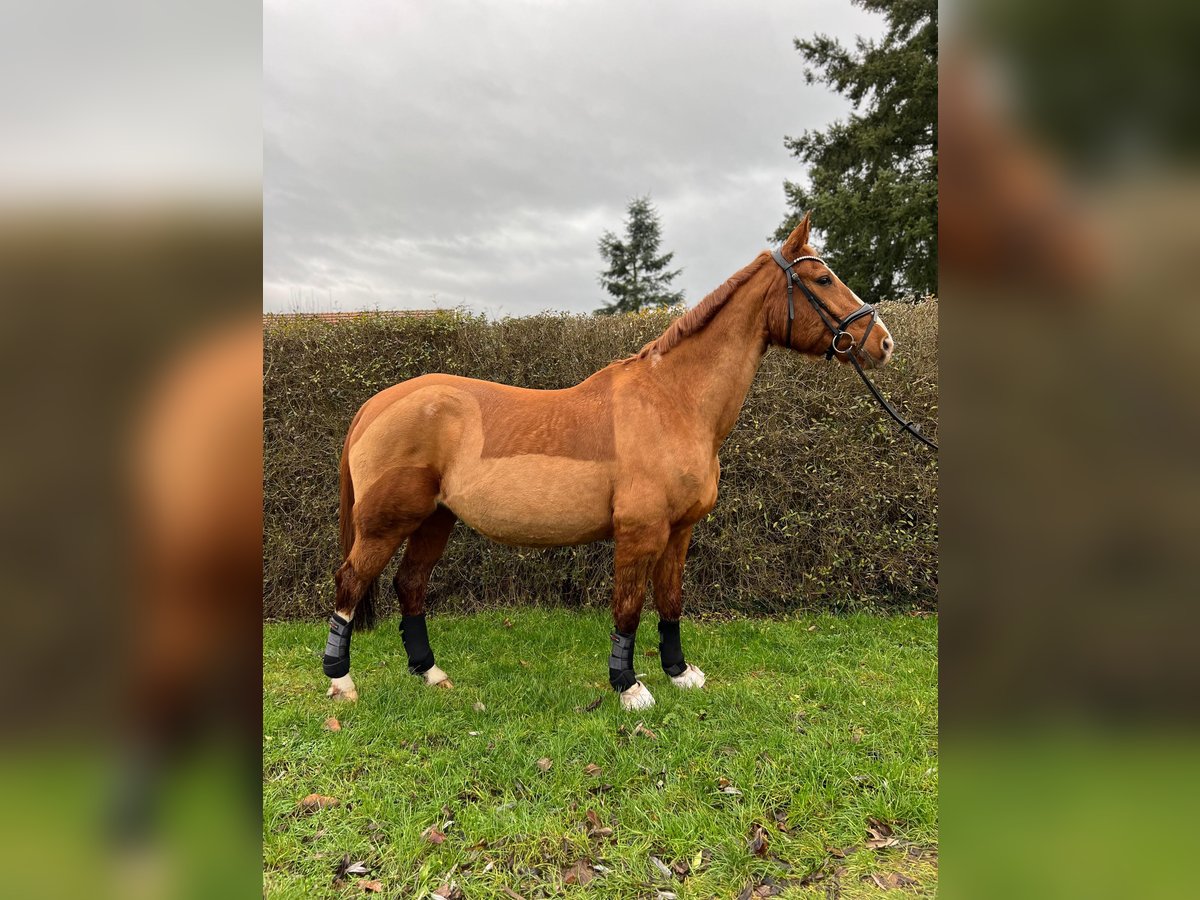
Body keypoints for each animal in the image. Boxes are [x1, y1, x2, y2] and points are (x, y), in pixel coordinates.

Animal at [319, 217, 892, 710]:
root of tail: (376, 405)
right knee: (350, 582)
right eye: (823, 278)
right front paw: (628, 686)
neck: (673, 401)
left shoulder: (679, 531)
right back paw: (342, 683)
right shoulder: (640, 531)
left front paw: (680, 673)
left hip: (436, 519)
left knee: (409, 585)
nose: (883, 343)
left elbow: (670, 600)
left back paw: (432, 674)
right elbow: (629, 606)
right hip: (386, 523)